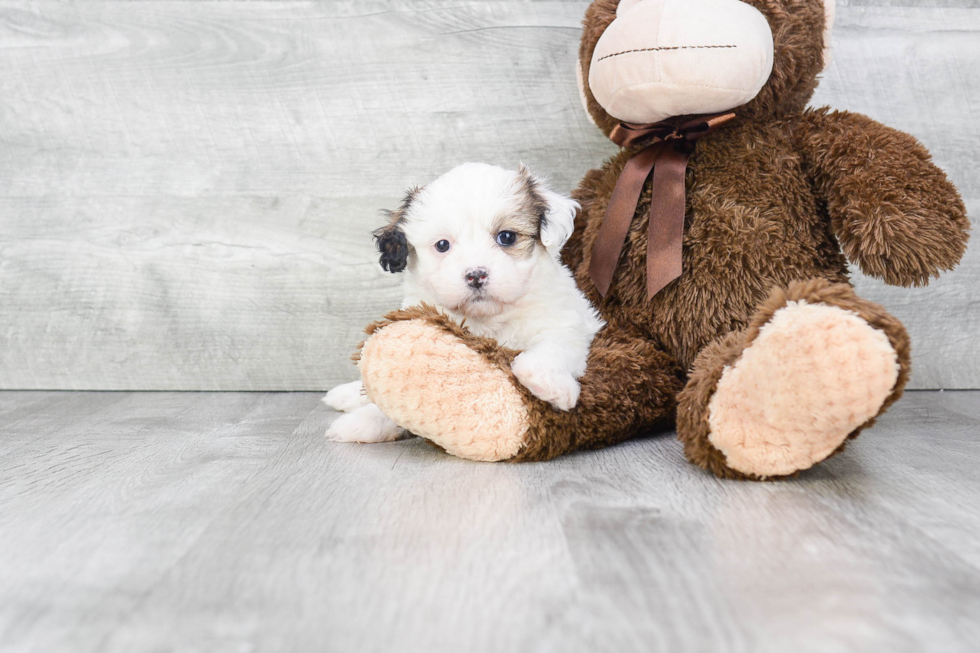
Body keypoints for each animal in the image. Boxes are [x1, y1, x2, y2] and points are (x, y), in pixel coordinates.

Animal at [326, 163, 604, 444]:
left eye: (506, 237)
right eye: (442, 245)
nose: (476, 275)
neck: (488, 319)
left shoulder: (567, 323)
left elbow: (549, 349)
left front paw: (550, 384)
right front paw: (365, 421)